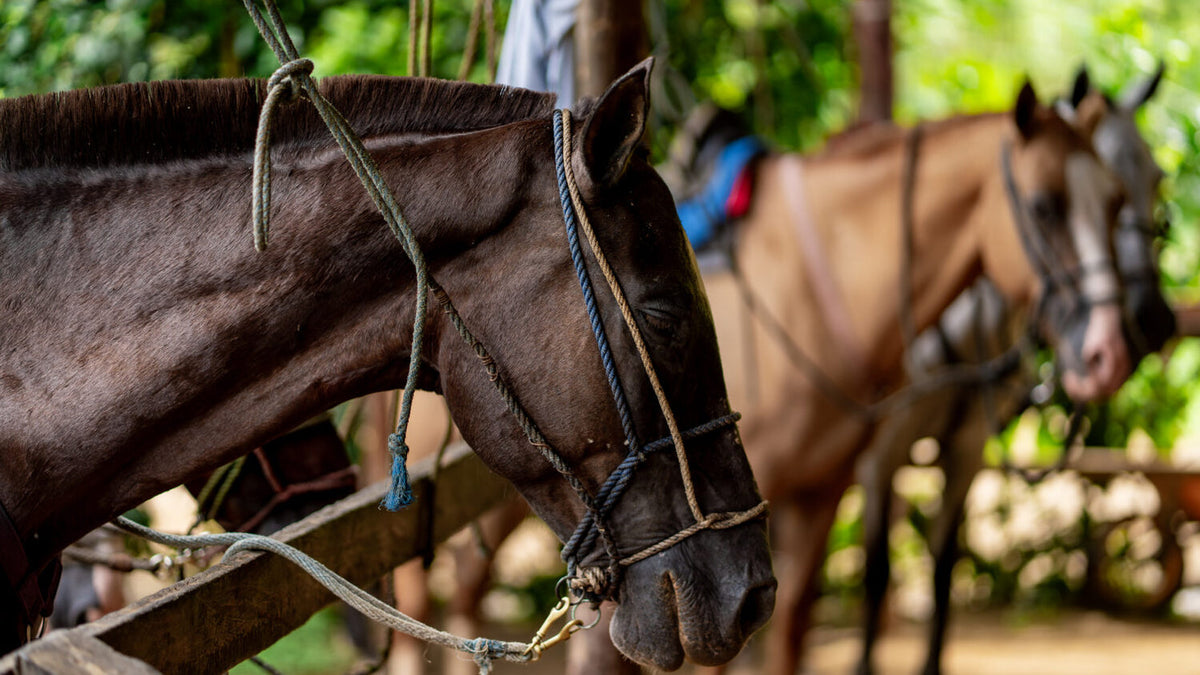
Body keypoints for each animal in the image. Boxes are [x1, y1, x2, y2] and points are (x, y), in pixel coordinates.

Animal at [855, 64, 1174, 675]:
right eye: (1113, 193)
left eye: (1155, 178)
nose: (1153, 319)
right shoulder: (879, 458)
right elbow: (876, 575)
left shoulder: (967, 449)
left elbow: (942, 570)